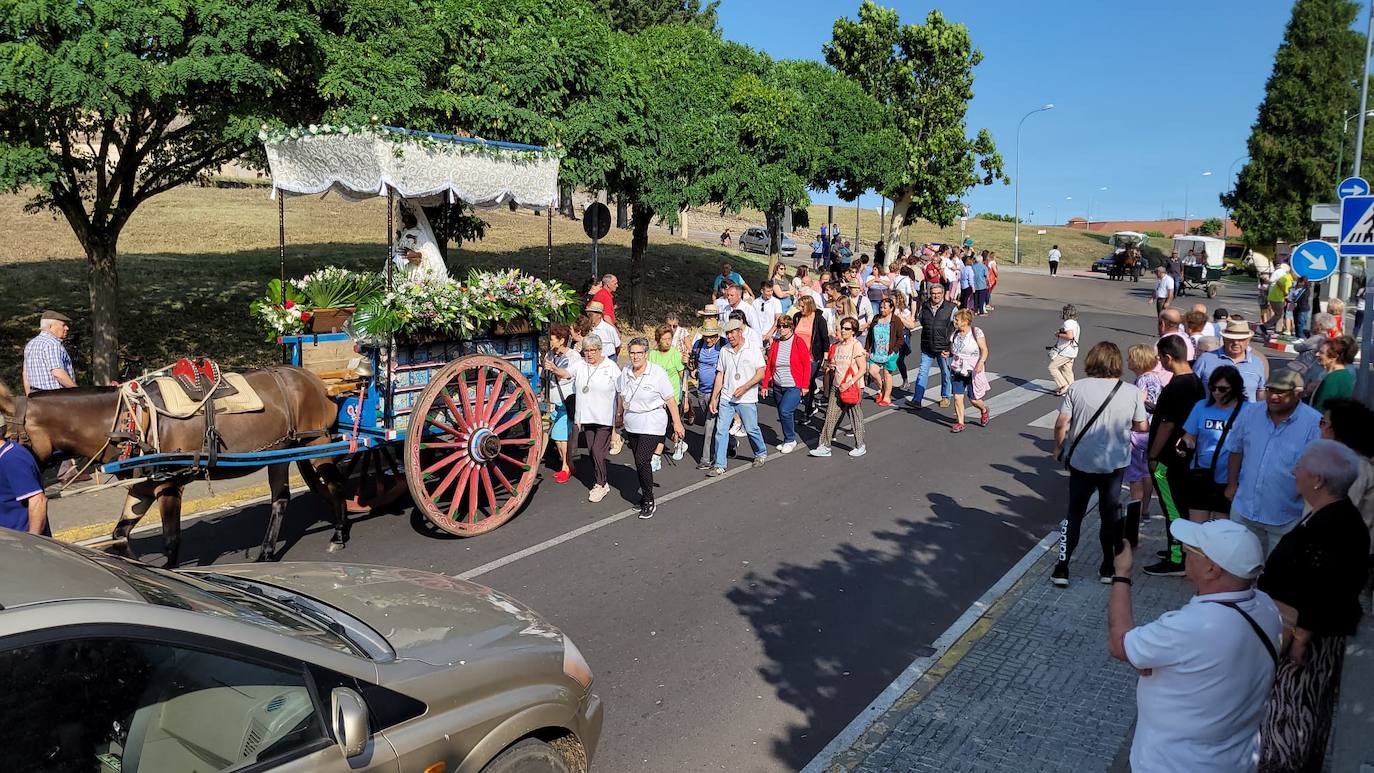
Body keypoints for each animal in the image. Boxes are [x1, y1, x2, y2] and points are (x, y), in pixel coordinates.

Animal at [0, 367, 348, 568]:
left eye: (5, 436)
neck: (131, 419)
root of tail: (312, 379)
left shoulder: (168, 484)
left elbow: (171, 540)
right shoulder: (143, 485)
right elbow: (120, 534)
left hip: (317, 442)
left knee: (333, 483)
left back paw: (340, 533)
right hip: (282, 451)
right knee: (281, 500)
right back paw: (266, 553)